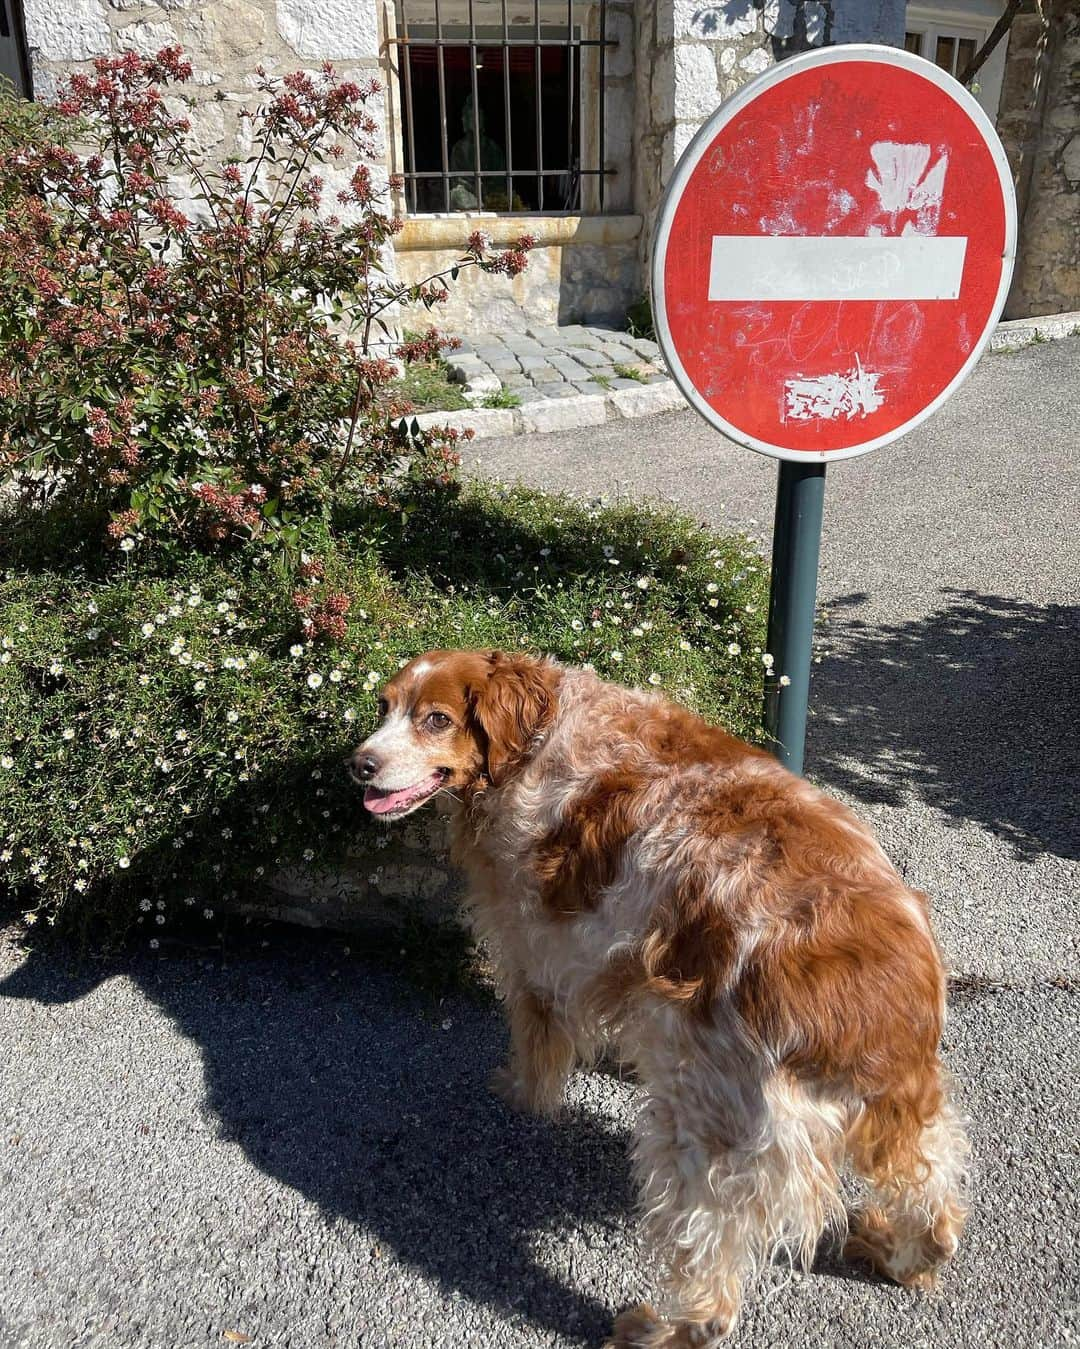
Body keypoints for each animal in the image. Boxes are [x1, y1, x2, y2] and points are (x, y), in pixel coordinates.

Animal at [350, 647, 965, 1343]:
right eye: (384, 707)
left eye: (436, 718)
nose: (359, 763)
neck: (538, 739)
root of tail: (880, 998)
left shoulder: (538, 950)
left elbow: (537, 1039)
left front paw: (519, 1094)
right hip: (907, 1108)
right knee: (938, 1200)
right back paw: (902, 1256)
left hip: (704, 1141)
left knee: (713, 1293)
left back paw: (658, 1330)